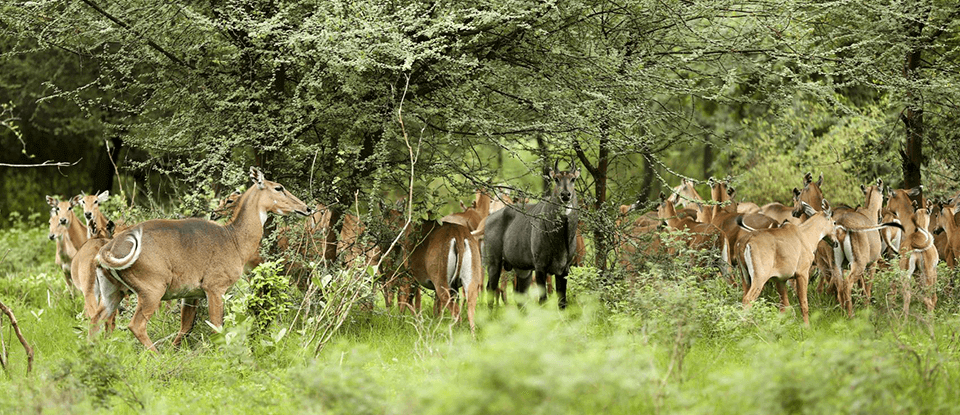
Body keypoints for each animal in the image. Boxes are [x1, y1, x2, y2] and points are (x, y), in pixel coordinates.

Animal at [94, 167, 312, 352]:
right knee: (135, 325)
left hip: (112, 291)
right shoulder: (215, 288)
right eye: (279, 188)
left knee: (95, 320)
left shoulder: (191, 295)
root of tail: (107, 249)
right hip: (151, 290)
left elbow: (185, 327)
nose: (307, 208)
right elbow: (217, 326)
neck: (234, 238)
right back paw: (158, 357)